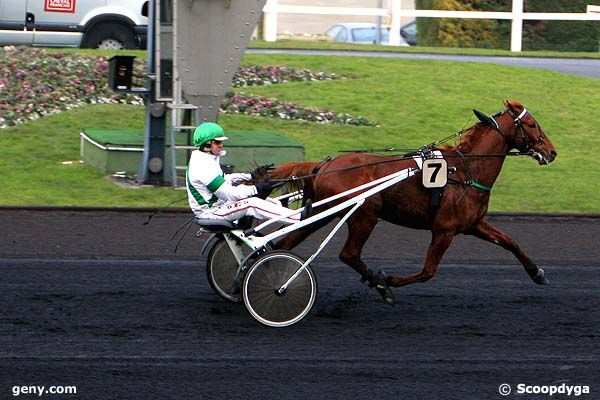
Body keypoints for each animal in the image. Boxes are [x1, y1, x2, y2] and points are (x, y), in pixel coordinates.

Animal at [268, 99, 556, 304]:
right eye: (531, 124)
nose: (552, 151)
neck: (466, 171)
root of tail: (324, 165)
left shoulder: (473, 224)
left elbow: (510, 242)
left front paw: (537, 273)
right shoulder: (444, 230)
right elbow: (428, 271)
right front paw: (388, 280)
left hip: (324, 211)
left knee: (285, 243)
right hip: (365, 214)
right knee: (348, 254)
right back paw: (379, 283)